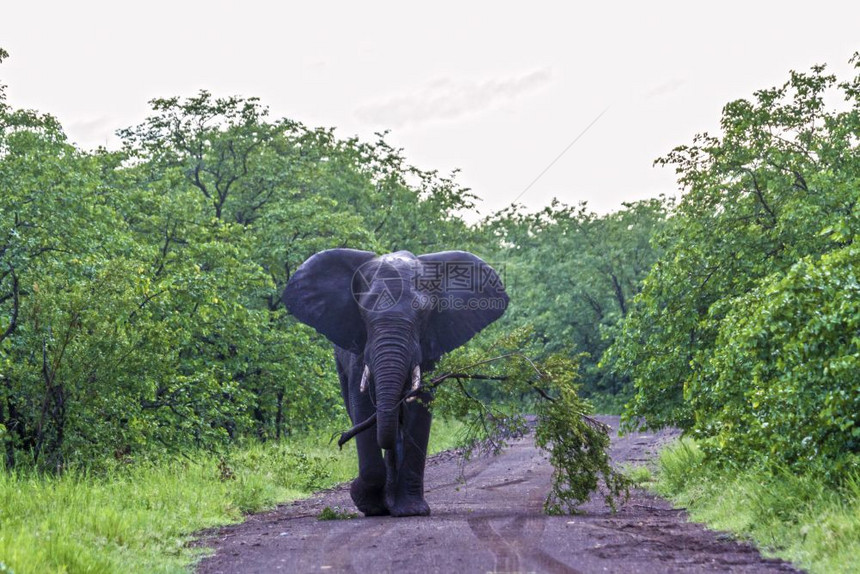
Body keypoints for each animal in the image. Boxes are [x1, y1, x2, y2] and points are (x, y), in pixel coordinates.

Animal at [286, 250, 508, 520]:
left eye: (423, 312)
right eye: (363, 311)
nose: (341, 440)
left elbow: (419, 407)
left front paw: (411, 511)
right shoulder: (359, 347)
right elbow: (363, 405)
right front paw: (368, 504)